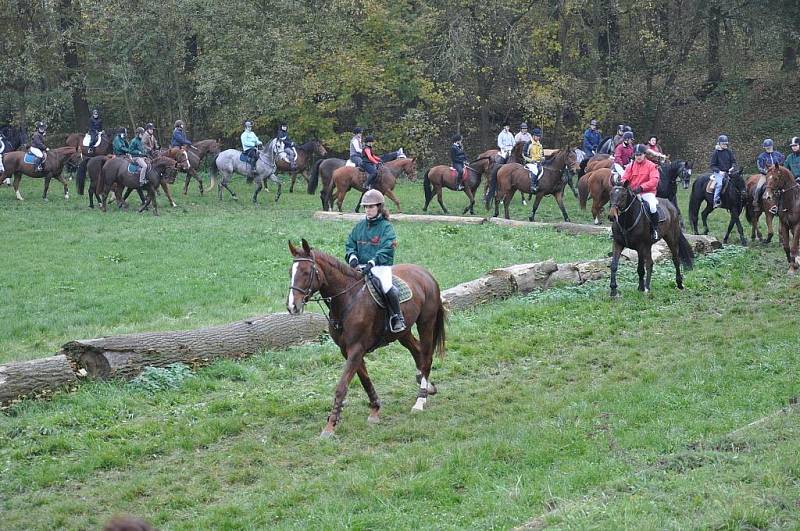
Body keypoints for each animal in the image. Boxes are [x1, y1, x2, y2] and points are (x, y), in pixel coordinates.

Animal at [288, 239, 450, 438]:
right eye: (290, 272)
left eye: (306, 272)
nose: (292, 306)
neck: (348, 299)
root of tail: (426, 273)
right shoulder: (348, 350)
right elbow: (365, 380)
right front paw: (375, 410)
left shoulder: (356, 349)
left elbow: (342, 386)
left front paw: (330, 426)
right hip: (402, 333)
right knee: (417, 351)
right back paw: (426, 385)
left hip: (426, 323)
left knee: (426, 356)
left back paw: (420, 400)